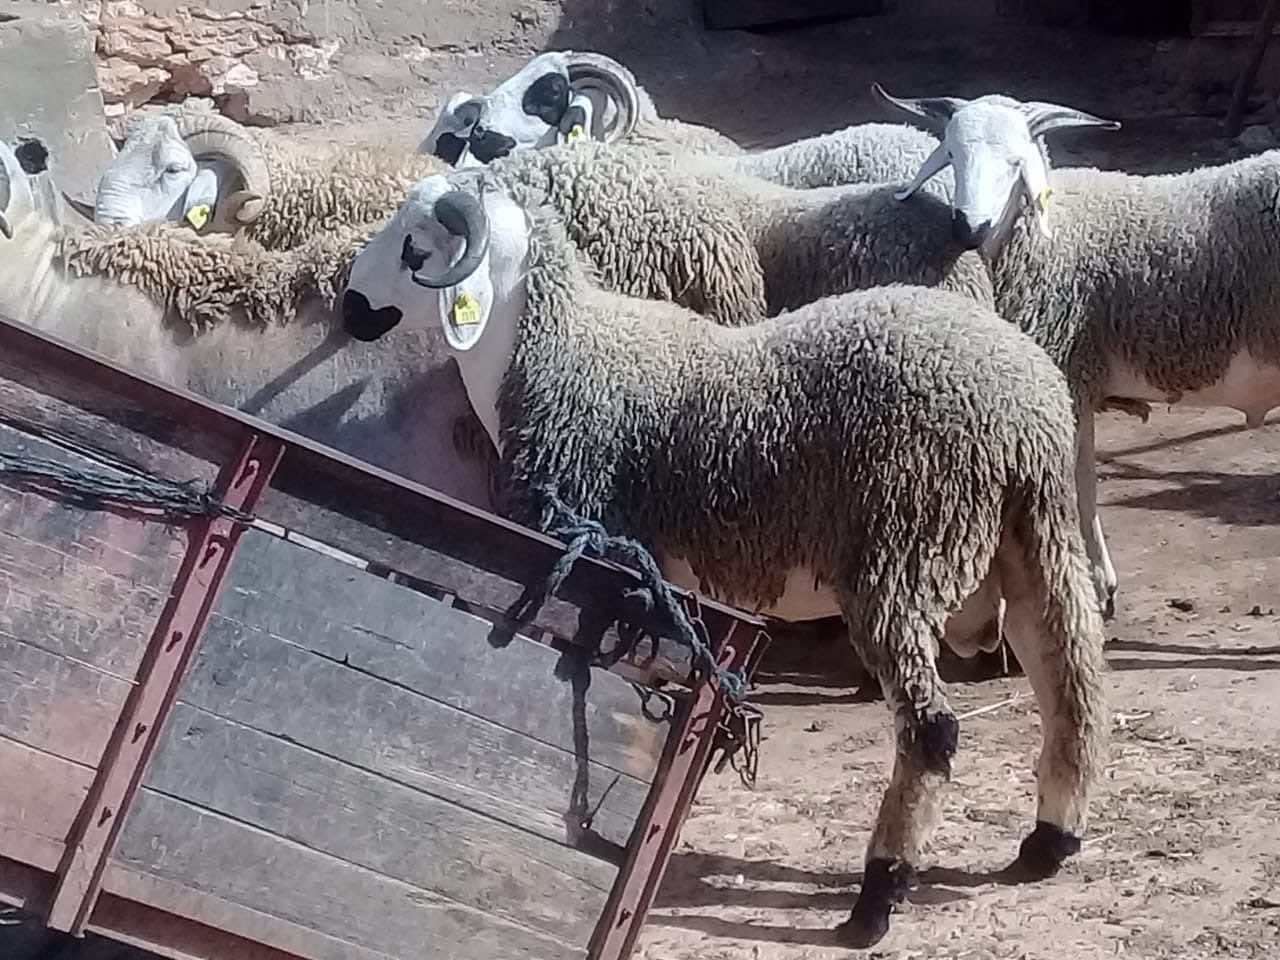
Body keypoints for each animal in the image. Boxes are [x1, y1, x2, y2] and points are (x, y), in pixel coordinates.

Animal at [339, 168, 1109, 949]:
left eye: (415, 247)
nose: (350, 307)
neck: (557, 353)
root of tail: (1021, 406)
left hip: (903, 547)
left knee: (933, 731)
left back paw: (877, 898)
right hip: (1034, 531)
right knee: (1071, 677)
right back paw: (1049, 841)